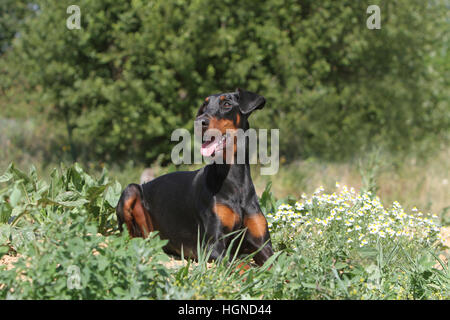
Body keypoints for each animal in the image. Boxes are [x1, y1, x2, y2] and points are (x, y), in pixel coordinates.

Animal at [116, 89, 274, 266]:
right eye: (205, 105)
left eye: (226, 104)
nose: (199, 122)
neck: (234, 179)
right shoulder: (213, 246)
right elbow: (239, 264)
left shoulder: (264, 246)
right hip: (131, 190)